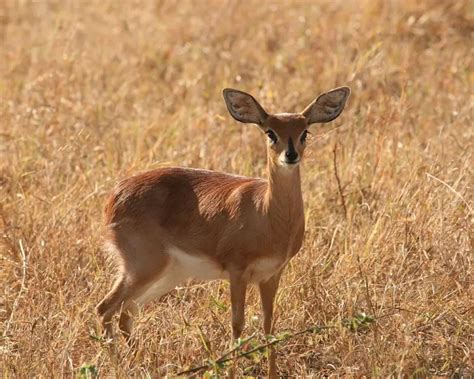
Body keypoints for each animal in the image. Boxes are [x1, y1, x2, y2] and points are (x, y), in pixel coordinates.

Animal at [96, 85, 350, 374]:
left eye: (304, 131)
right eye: (270, 132)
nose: (290, 154)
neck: (267, 214)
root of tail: (115, 196)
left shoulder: (271, 275)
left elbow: (269, 325)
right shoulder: (237, 272)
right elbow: (237, 324)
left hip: (168, 274)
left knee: (126, 313)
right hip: (142, 268)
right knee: (105, 308)